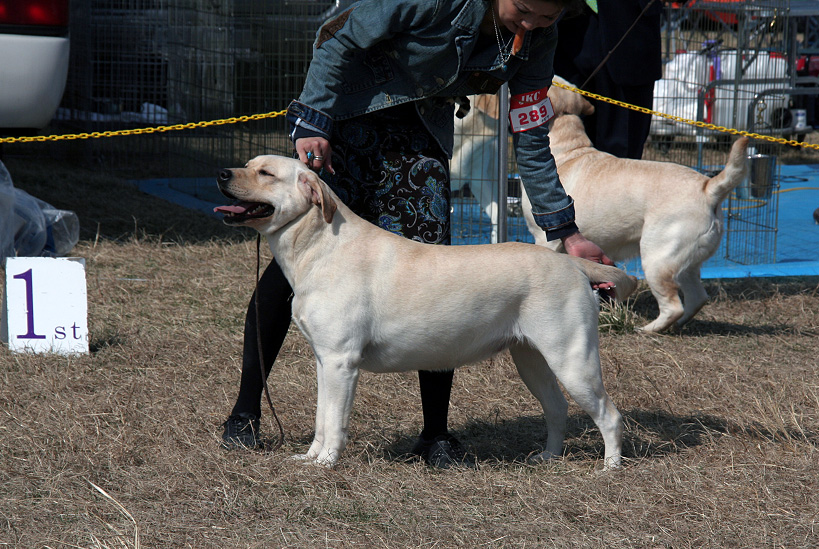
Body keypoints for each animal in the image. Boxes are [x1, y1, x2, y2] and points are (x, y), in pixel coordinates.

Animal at [215, 156, 636, 468]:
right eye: (249, 165)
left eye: (265, 173)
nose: (221, 173)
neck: (318, 246)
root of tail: (572, 264)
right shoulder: (325, 361)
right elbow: (322, 418)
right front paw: (310, 457)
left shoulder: (340, 361)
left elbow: (334, 421)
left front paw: (326, 463)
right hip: (532, 360)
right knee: (558, 409)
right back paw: (547, 458)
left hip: (573, 360)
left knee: (610, 416)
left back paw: (609, 468)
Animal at [524, 78, 748, 332]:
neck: (569, 150)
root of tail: (708, 187)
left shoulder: (545, 240)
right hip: (684, 265)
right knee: (697, 298)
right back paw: (675, 327)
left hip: (656, 260)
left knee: (674, 306)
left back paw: (647, 330)